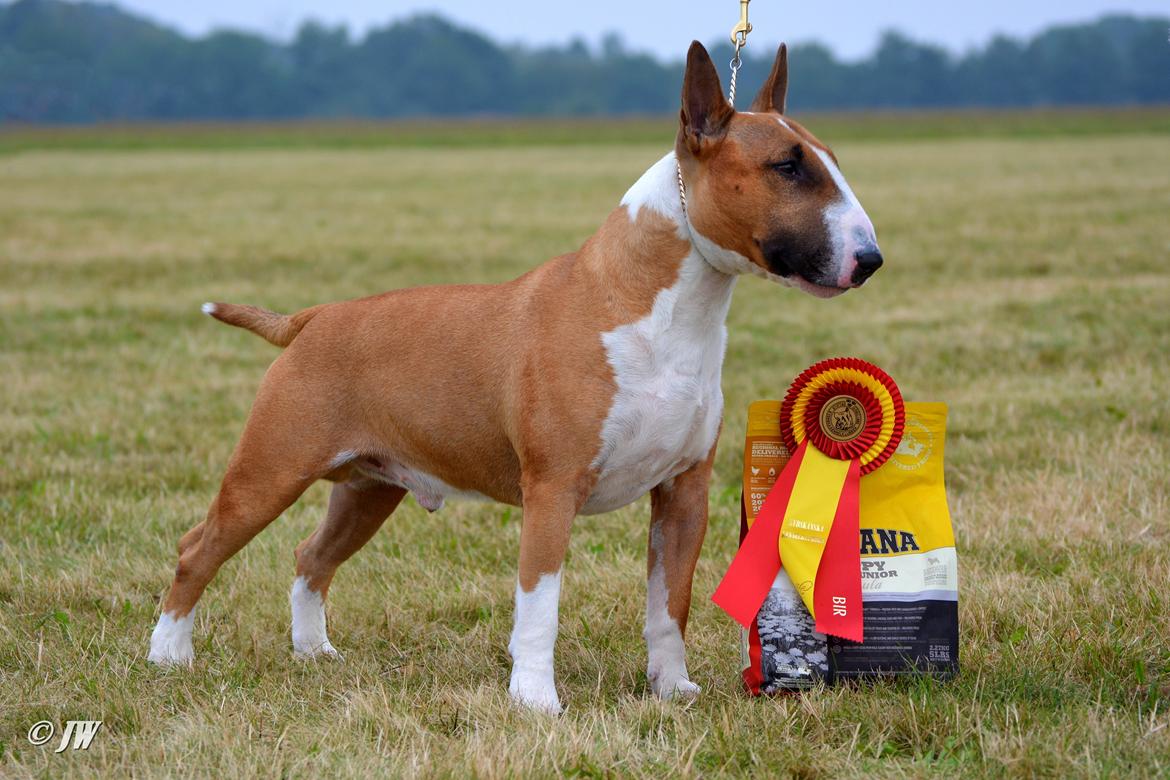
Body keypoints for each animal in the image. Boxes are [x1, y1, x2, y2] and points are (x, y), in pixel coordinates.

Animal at [148, 41, 879, 715]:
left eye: (834, 162)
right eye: (787, 166)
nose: (869, 260)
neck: (654, 307)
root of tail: (312, 318)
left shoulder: (683, 492)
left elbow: (670, 603)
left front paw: (671, 688)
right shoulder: (552, 489)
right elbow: (539, 604)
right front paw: (534, 700)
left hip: (369, 488)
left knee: (310, 556)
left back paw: (313, 651)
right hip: (271, 470)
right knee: (197, 549)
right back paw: (168, 656)